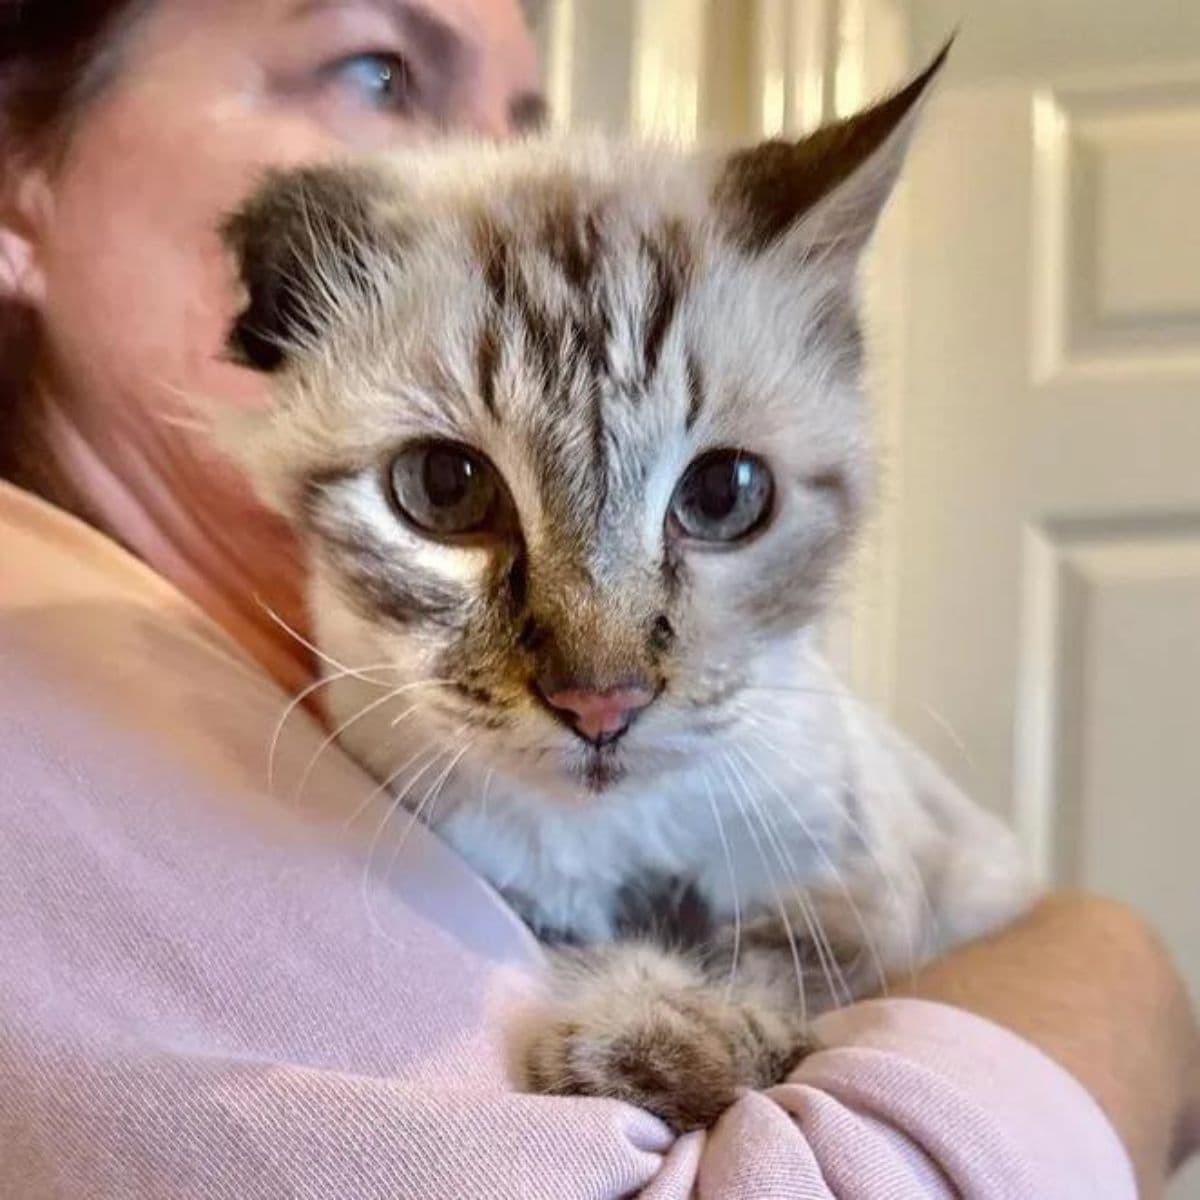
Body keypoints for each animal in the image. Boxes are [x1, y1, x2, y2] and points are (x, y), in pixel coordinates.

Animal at [213, 44, 1032, 1132]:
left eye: (724, 496)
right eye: (446, 488)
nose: (600, 702)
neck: (608, 846)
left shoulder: (889, 892)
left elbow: (773, 964)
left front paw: (653, 1038)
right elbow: (587, 939)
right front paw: (635, 1010)